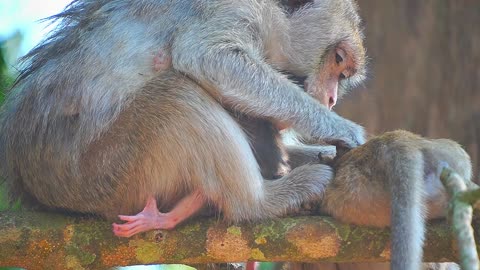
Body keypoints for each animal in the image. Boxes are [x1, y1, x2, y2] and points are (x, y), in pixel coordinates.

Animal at [0, 0, 368, 236]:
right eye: (337, 58)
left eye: (344, 75)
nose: (331, 100)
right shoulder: (233, 10)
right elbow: (208, 55)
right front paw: (340, 129)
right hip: (106, 177)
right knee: (175, 94)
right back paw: (260, 202)